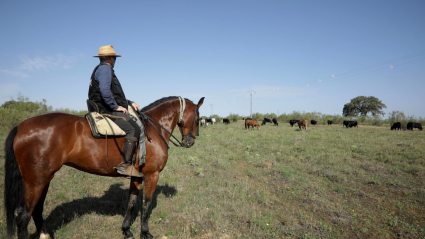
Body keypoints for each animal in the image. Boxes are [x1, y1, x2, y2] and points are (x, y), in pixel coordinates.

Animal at [4, 95, 204, 239]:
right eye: (198, 118)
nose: (190, 142)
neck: (151, 131)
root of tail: (21, 125)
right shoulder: (151, 175)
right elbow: (146, 206)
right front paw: (145, 233)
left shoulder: (137, 177)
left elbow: (131, 203)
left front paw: (127, 230)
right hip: (36, 181)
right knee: (23, 215)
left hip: (44, 179)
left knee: (37, 209)